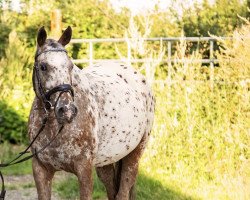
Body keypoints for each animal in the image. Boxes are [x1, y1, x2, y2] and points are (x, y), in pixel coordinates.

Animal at [28, 25, 154, 199]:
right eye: (43, 66)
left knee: (123, 191)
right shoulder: (40, 170)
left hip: (134, 154)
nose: (67, 110)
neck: (54, 129)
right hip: (106, 162)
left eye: (70, 66)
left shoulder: (84, 171)